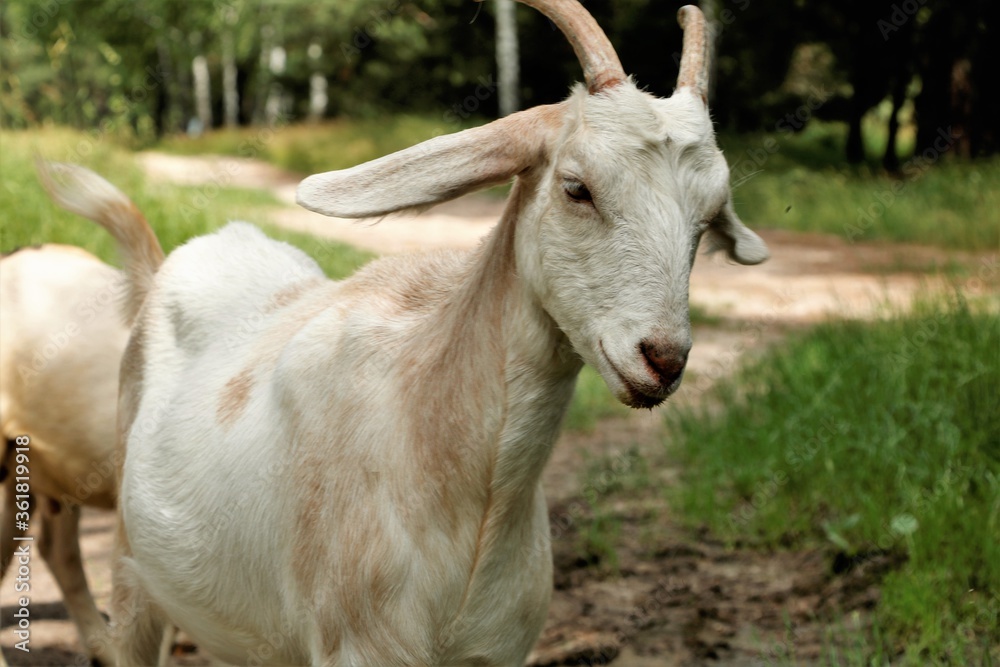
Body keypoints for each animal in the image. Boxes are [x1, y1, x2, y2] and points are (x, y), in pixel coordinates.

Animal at [41, 2, 764, 664]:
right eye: (576, 187)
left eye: (707, 219)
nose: (662, 358)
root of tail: (166, 265)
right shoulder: (358, 645)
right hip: (134, 574)